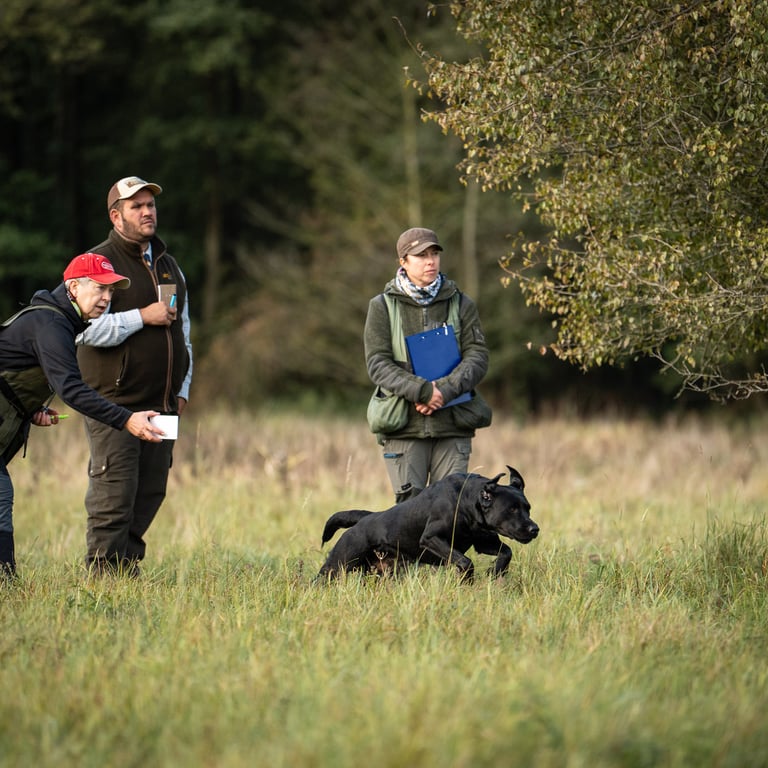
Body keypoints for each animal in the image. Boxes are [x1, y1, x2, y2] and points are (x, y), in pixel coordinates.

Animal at [318, 466, 538, 581]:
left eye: (528, 508)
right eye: (512, 509)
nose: (534, 529)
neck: (466, 502)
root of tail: (364, 519)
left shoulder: (484, 542)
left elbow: (507, 552)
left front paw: (496, 571)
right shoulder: (432, 538)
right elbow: (466, 562)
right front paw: (466, 581)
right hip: (337, 565)